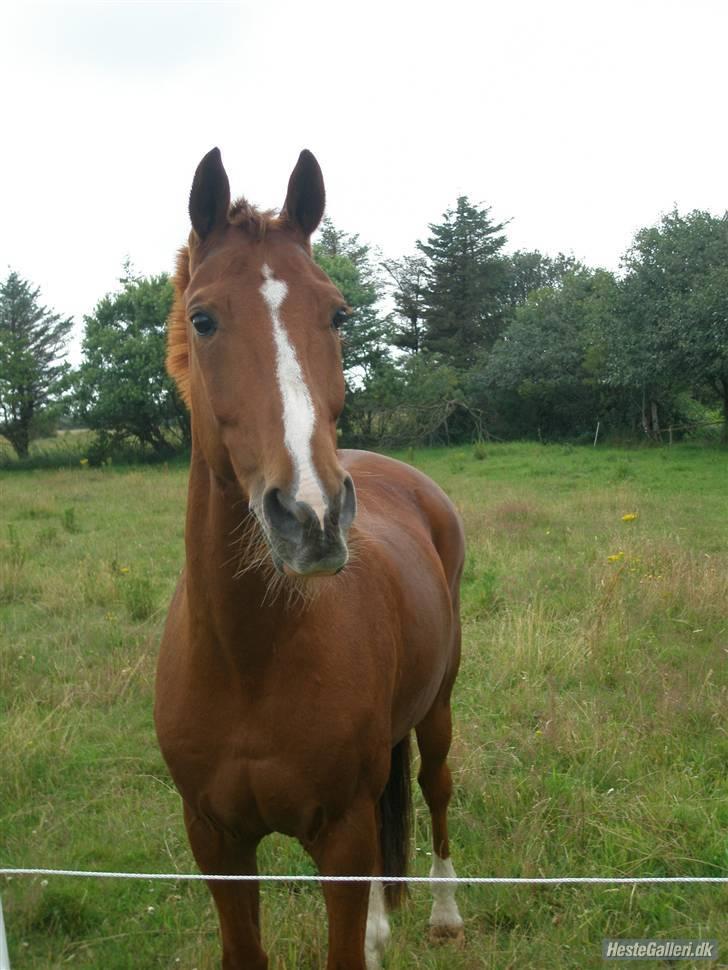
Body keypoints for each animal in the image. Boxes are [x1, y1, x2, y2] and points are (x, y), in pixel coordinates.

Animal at [156, 146, 466, 968]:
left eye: (338, 313)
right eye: (203, 318)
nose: (312, 516)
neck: (249, 658)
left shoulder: (342, 836)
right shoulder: (216, 841)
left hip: (439, 709)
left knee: (436, 787)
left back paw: (445, 911)